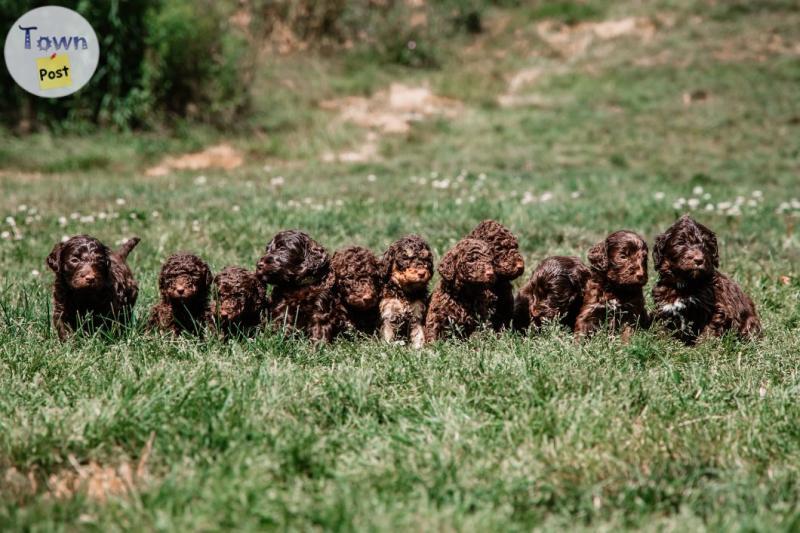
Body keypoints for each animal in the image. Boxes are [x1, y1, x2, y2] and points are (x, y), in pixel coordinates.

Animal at [652, 214, 760, 342]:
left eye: (706, 245)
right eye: (680, 243)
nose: (699, 260)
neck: (686, 283)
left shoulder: (715, 309)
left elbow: (708, 330)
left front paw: (704, 345)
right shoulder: (665, 308)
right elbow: (664, 328)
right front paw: (662, 341)